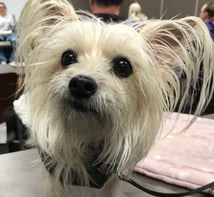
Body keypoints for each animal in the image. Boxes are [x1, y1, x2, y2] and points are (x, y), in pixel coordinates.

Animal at [13, 0, 214, 196]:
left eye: (123, 66)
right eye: (67, 57)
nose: (81, 84)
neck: (86, 132)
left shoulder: (112, 178)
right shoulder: (54, 173)